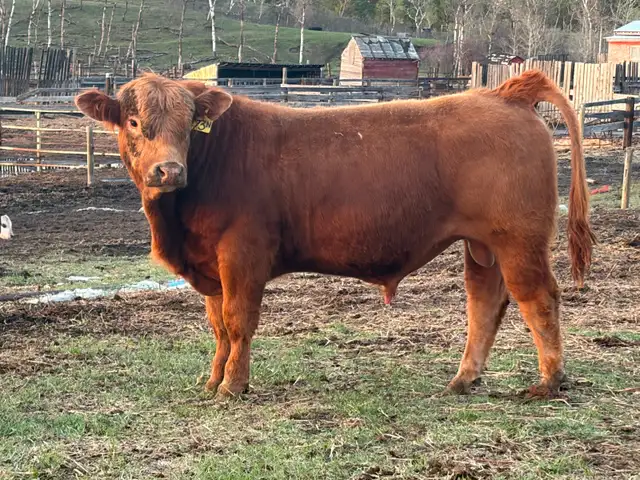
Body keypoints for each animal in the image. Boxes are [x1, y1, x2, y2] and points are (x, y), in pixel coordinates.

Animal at [75, 70, 595, 400]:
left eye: (188, 126)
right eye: (134, 122)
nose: (169, 170)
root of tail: (505, 92)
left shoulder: (242, 255)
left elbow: (239, 322)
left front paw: (233, 387)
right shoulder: (210, 268)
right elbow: (219, 326)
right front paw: (212, 381)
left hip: (518, 239)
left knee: (538, 298)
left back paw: (549, 382)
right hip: (482, 245)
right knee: (485, 302)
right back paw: (463, 381)